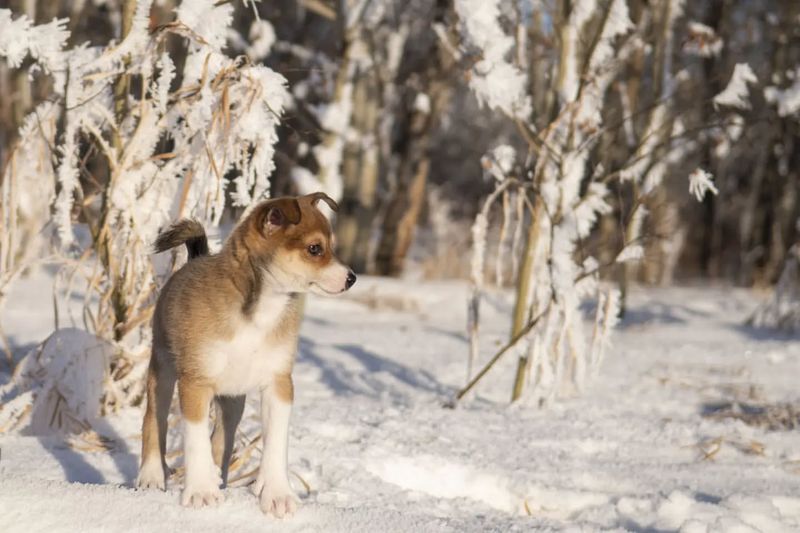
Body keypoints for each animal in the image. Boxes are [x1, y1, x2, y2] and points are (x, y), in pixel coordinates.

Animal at [136, 192, 354, 516]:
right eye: (315, 248)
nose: (352, 278)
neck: (258, 311)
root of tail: (195, 259)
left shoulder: (279, 383)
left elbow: (276, 441)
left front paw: (277, 494)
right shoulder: (194, 383)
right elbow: (195, 439)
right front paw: (201, 492)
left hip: (232, 400)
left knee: (221, 441)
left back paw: (217, 474)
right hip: (162, 370)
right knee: (154, 419)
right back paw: (151, 476)